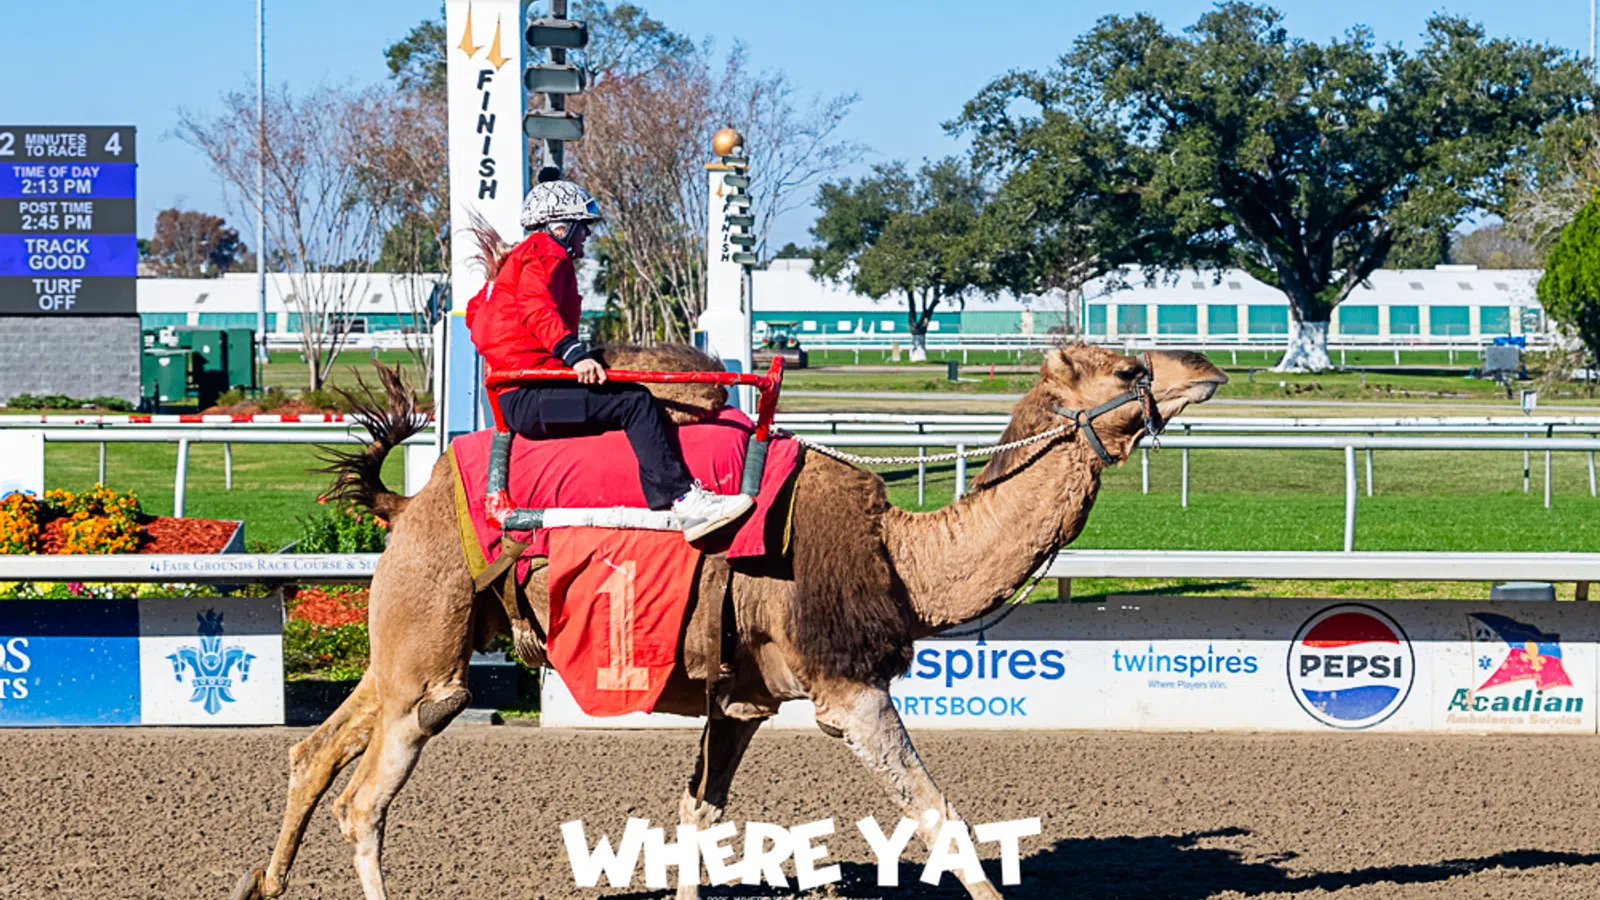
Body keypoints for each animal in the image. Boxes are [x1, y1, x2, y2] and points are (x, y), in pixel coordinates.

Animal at [229, 341, 1227, 900]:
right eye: (1131, 369)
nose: (1211, 369)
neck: (899, 558)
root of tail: (407, 501)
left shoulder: (740, 699)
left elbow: (696, 815)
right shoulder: (847, 690)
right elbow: (936, 810)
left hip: (411, 640)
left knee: (315, 749)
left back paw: (259, 882)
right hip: (429, 650)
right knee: (365, 800)